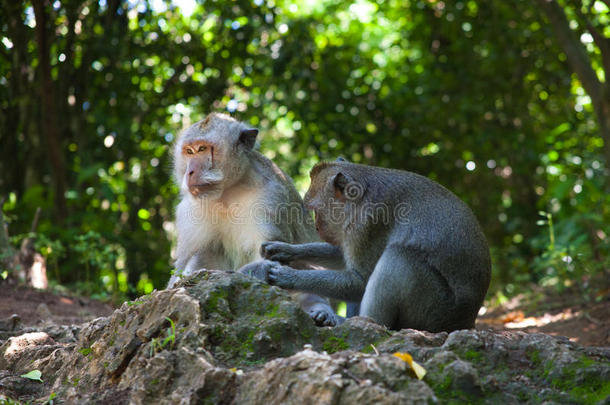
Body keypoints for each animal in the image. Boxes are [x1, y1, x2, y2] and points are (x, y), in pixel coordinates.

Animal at [166, 113, 338, 326]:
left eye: (203, 149)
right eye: (189, 151)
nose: (189, 172)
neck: (227, 193)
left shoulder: (270, 197)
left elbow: (273, 255)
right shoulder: (189, 209)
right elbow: (179, 272)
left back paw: (320, 310)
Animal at [255, 159, 490, 332]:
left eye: (315, 209)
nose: (318, 227)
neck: (360, 200)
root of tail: (465, 322)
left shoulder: (369, 223)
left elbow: (360, 280)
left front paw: (289, 276)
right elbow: (341, 257)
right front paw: (284, 249)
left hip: (436, 312)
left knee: (399, 259)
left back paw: (364, 322)